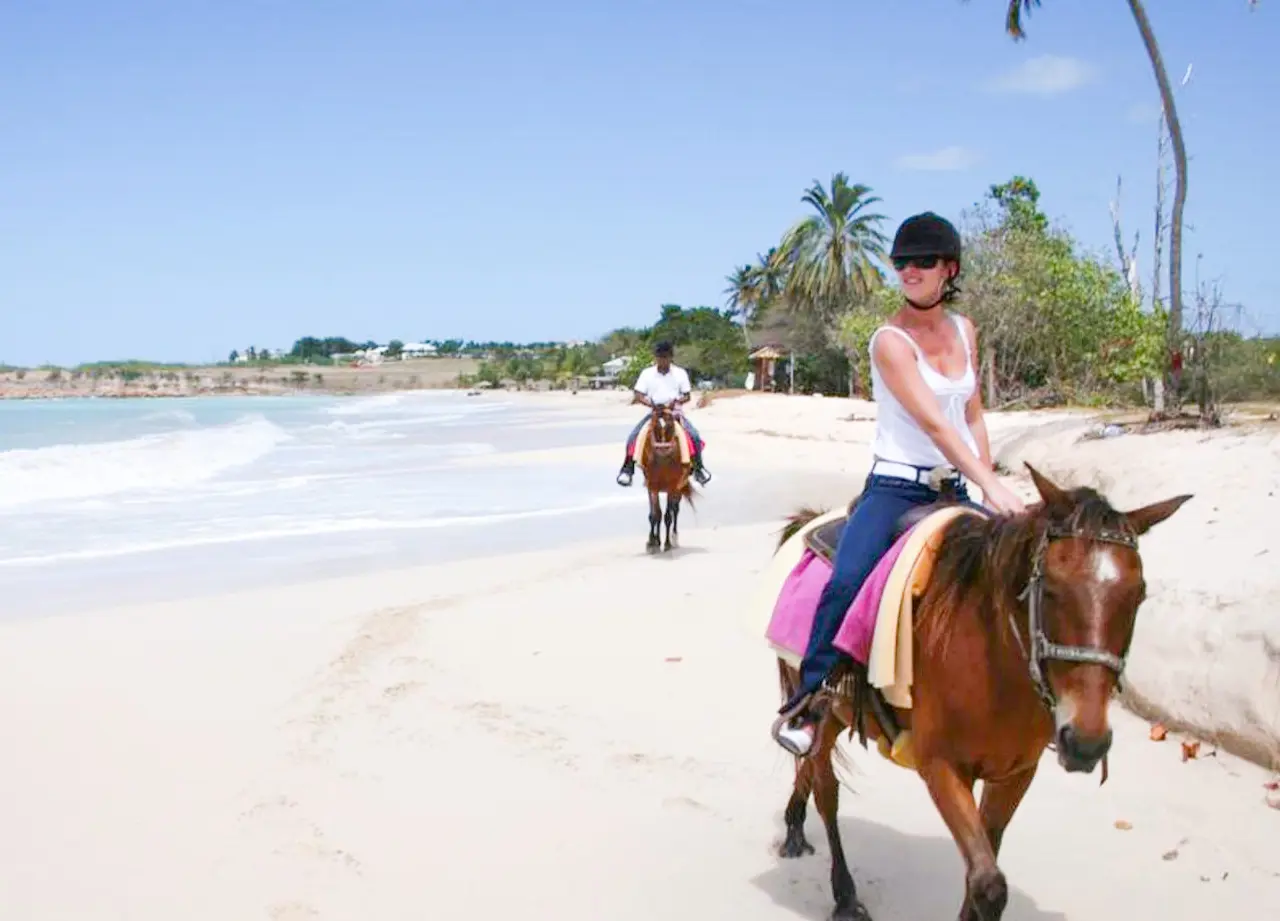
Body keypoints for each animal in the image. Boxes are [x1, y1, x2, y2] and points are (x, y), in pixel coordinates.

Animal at [640, 401, 701, 547]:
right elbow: (655, 514)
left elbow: (668, 515)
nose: (663, 449)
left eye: (671, 425)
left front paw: (666, 543)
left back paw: (674, 536)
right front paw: (653, 541)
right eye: (654, 425)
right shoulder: (652, 486)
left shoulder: (671, 486)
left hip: (679, 487)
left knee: (675, 510)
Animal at [768, 468, 1187, 921]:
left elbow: (982, 869)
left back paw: (794, 825)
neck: (995, 664)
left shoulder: (1016, 773)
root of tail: (807, 520)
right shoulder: (941, 766)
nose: (1086, 743)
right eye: (1051, 590)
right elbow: (988, 884)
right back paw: (844, 894)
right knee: (827, 791)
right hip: (823, 710)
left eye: (1138, 596)